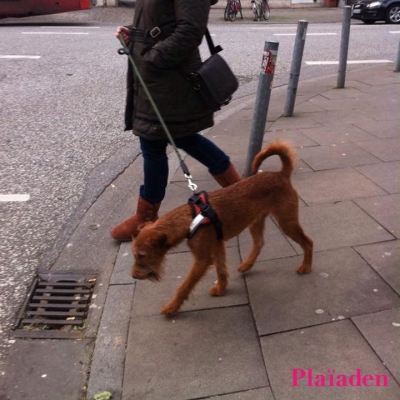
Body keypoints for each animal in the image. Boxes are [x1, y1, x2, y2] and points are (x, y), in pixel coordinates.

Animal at [131, 141, 312, 316]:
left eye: (141, 255)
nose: (134, 276)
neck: (189, 218)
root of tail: (281, 174)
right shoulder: (217, 246)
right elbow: (221, 269)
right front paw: (221, 289)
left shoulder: (202, 260)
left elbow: (185, 285)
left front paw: (171, 307)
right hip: (256, 221)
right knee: (259, 243)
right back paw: (246, 265)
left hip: (287, 222)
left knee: (308, 242)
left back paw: (306, 266)